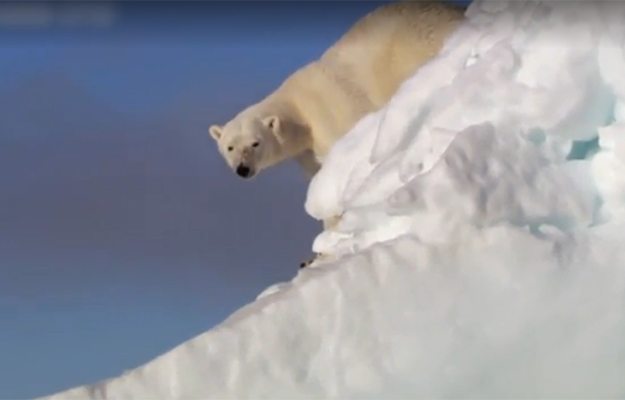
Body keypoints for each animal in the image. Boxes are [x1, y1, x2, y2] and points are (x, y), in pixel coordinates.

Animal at [208, 2, 464, 266]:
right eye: (230, 147)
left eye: (255, 143)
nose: (242, 169)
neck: (299, 111)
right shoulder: (307, 151)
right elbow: (319, 178)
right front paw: (315, 254)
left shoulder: (330, 115)